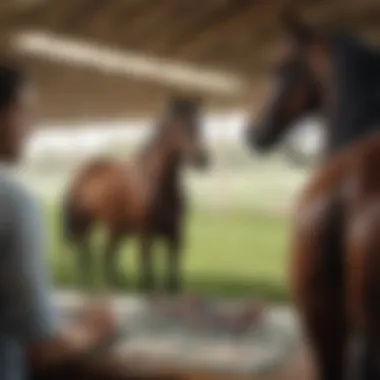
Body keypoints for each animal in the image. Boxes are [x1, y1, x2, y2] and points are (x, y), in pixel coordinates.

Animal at [62, 96, 211, 292]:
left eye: (199, 124)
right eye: (180, 126)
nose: (203, 158)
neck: (156, 184)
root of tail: (81, 172)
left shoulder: (174, 235)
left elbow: (172, 280)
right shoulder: (146, 235)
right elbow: (148, 276)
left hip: (116, 227)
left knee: (107, 252)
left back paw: (113, 284)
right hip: (85, 225)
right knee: (84, 253)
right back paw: (87, 284)